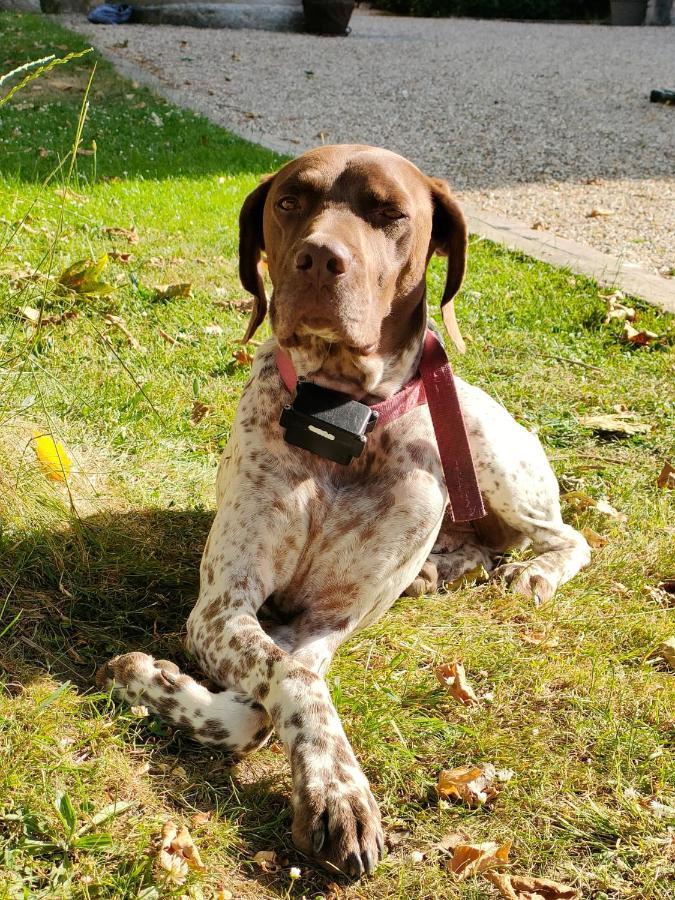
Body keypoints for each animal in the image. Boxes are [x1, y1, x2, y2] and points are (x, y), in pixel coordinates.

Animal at [100, 146, 592, 880]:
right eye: (288, 203)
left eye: (389, 213)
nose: (317, 258)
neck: (339, 421)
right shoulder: (224, 604)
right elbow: (278, 691)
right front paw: (155, 682)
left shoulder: (329, 619)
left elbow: (293, 679)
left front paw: (334, 792)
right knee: (482, 545)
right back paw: (442, 570)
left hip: (487, 453)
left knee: (565, 536)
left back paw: (531, 572)